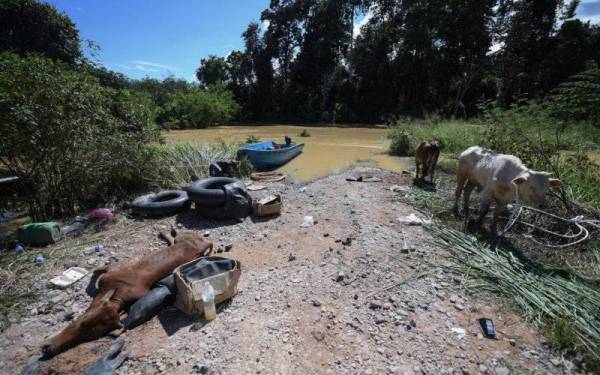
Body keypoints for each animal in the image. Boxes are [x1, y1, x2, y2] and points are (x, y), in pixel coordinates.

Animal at [42, 229, 212, 358]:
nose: (48, 348)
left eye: (92, 334)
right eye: (83, 320)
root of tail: (203, 242)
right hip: (182, 240)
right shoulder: (113, 268)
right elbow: (95, 270)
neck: (117, 288)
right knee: (174, 239)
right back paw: (165, 233)